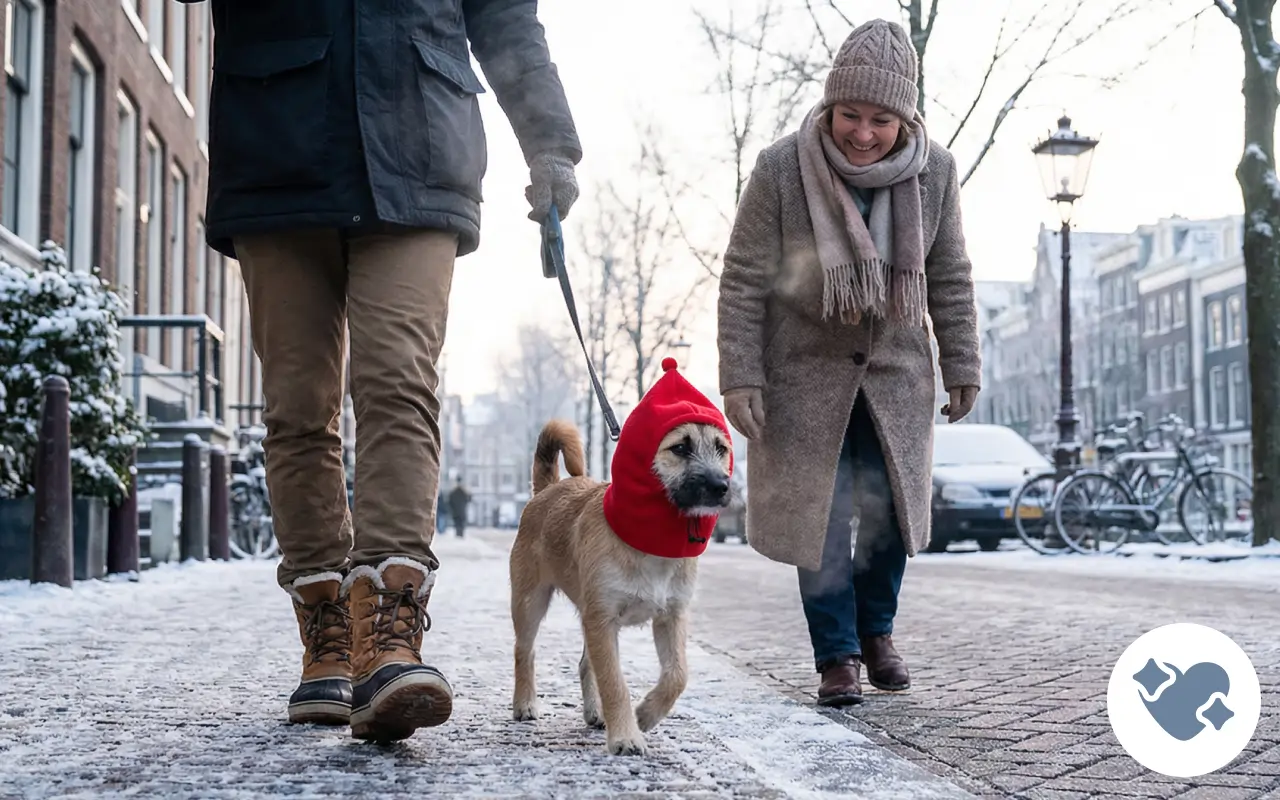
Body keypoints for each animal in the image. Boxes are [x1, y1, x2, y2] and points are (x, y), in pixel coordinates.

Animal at [508, 408, 733, 756]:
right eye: (680, 448)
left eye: (721, 449)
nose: (721, 486)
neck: (651, 539)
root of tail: (547, 490)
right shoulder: (603, 620)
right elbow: (614, 682)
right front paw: (626, 736)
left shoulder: (670, 617)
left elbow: (677, 676)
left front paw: (645, 714)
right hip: (530, 602)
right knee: (524, 651)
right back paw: (525, 703)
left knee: (585, 664)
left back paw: (596, 713)